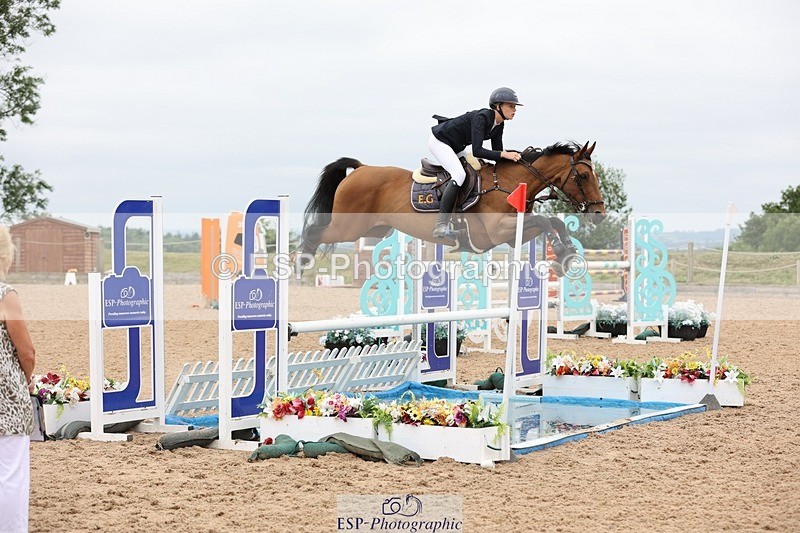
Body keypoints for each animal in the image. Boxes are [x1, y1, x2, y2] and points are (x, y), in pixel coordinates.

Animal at [299, 141, 606, 271]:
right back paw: (302, 262)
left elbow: (554, 222)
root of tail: (361, 168)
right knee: (315, 232)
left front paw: (568, 254)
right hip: (348, 228)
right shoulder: (496, 231)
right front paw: (564, 254)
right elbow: (545, 221)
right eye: (583, 175)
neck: (507, 183)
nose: (599, 214)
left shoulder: (511, 235)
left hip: (375, 230)